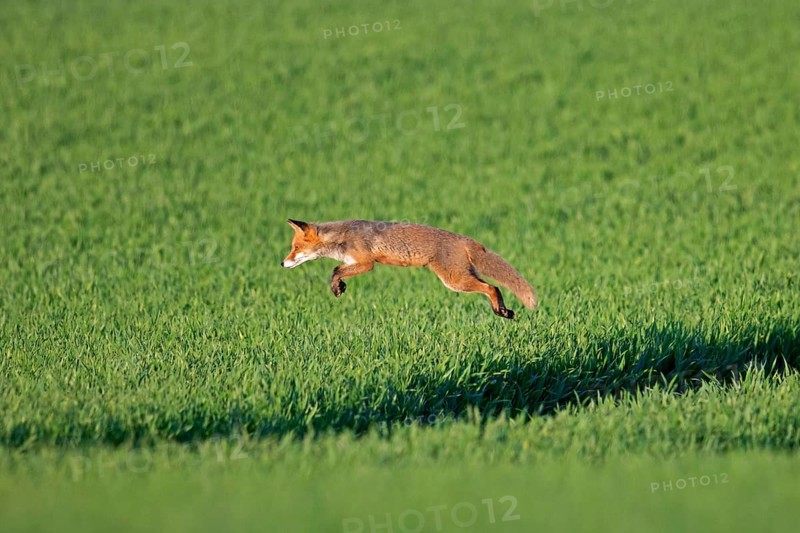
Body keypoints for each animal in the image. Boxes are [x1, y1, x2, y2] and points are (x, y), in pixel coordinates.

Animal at [281, 219, 537, 319]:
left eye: (295, 248)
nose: (282, 263)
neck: (342, 237)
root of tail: (464, 239)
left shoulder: (366, 263)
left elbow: (335, 270)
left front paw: (337, 286)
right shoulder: (354, 262)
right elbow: (338, 270)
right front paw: (339, 286)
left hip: (454, 281)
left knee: (492, 288)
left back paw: (500, 310)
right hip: (463, 277)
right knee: (493, 287)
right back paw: (504, 311)